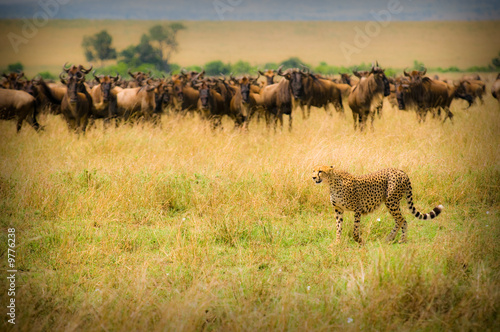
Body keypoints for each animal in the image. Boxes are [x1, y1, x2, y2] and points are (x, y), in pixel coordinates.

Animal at [312, 166, 446, 244]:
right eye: (313, 170)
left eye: (320, 171)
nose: (313, 177)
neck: (331, 182)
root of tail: (400, 170)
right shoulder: (338, 210)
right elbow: (338, 227)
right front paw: (337, 242)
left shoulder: (357, 209)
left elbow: (355, 229)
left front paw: (359, 240)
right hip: (392, 202)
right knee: (401, 220)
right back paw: (396, 239)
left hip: (391, 201)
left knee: (401, 219)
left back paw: (395, 239)